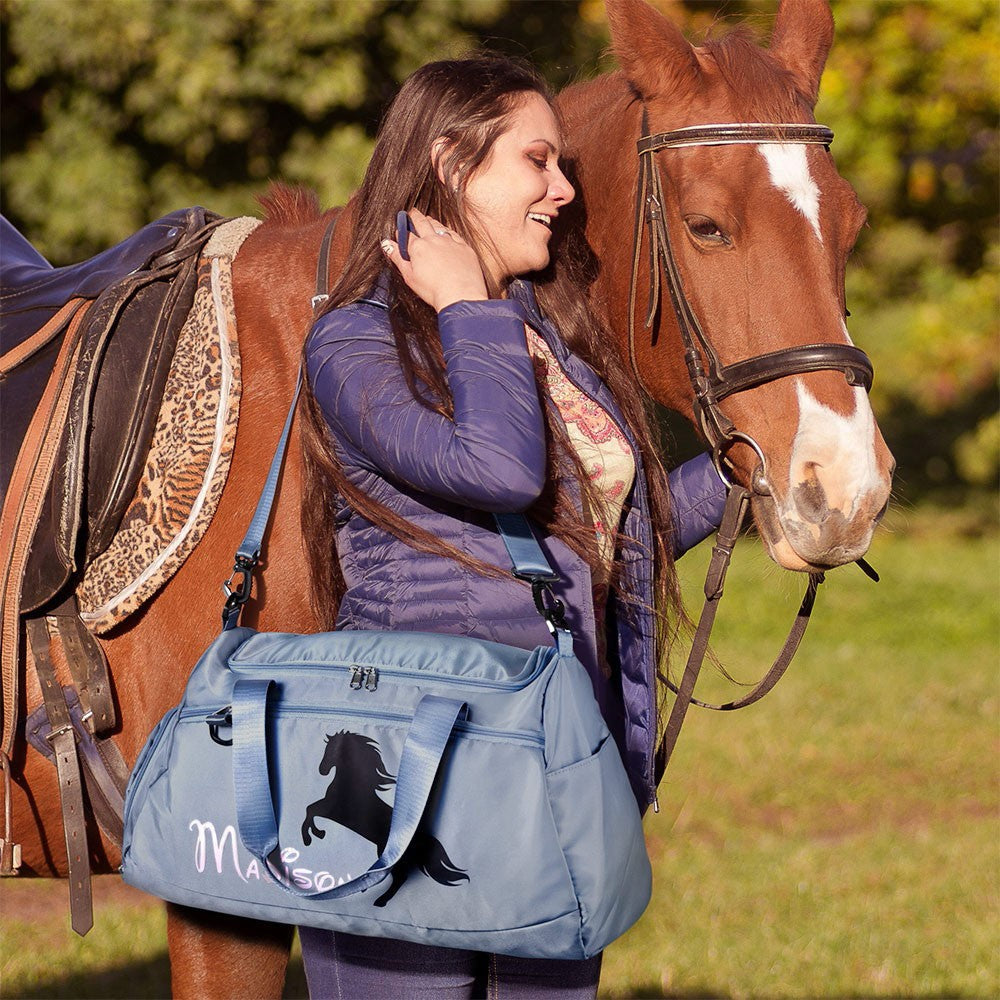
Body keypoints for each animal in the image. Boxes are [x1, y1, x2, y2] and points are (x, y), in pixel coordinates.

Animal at [300, 731, 468, 908]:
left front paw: (312, 836)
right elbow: (310, 810)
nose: (322, 770)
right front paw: (317, 834)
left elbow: (310, 810)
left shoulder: (330, 809)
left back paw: (380, 900)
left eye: (332, 750)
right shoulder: (328, 808)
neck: (352, 784)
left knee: (400, 878)